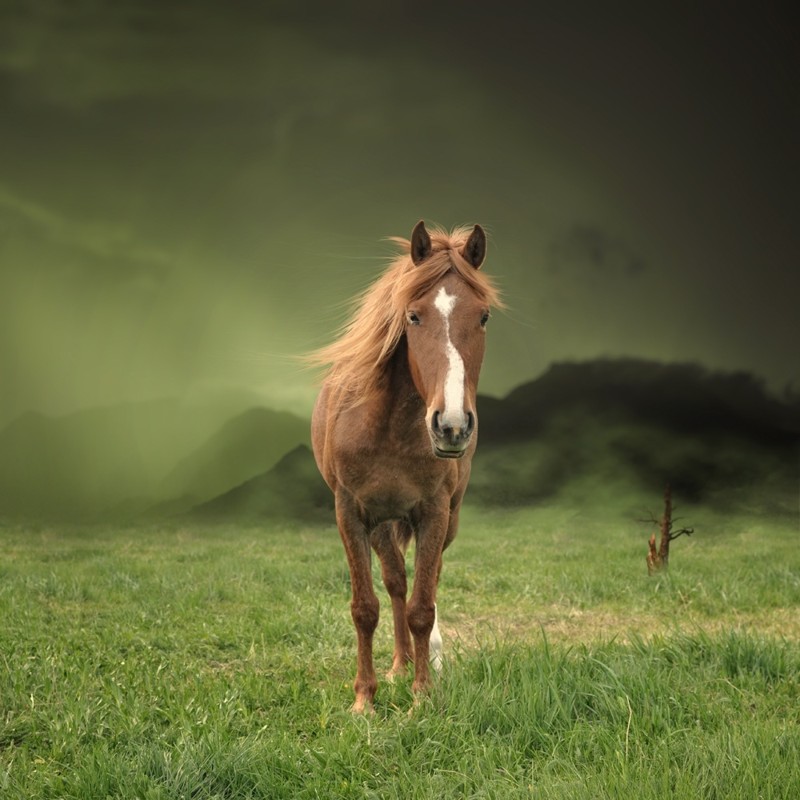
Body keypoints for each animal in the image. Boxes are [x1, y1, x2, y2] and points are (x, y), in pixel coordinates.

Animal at [310, 220, 500, 712]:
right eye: (413, 316)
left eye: (484, 317)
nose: (452, 426)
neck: (388, 426)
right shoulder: (351, 513)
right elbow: (365, 607)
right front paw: (365, 699)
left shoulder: (434, 513)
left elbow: (422, 605)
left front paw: (423, 694)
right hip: (380, 523)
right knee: (395, 580)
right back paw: (397, 665)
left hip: (447, 517)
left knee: (426, 580)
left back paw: (425, 657)